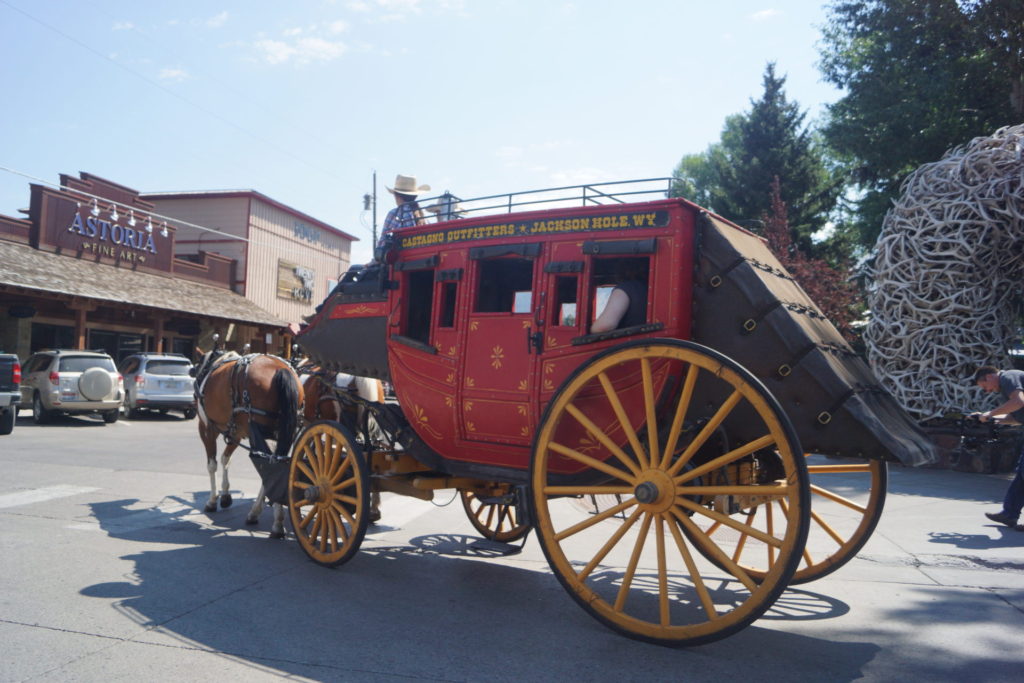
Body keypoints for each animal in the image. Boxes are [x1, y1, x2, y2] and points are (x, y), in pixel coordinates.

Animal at [192, 348, 301, 540]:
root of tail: (280, 370)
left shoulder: (206, 428)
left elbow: (212, 464)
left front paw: (212, 501)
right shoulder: (237, 432)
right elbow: (225, 458)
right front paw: (225, 496)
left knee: (270, 467)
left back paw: (272, 521)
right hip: (281, 433)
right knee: (275, 465)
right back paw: (266, 516)